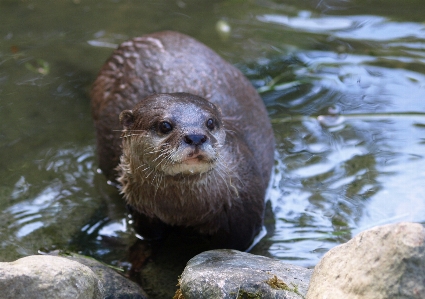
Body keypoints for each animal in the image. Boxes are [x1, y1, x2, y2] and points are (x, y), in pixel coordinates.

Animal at [90, 31, 274, 251]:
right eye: (165, 125)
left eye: (210, 122)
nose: (195, 137)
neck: (181, 211)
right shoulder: (142, 214)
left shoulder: (243, 220)